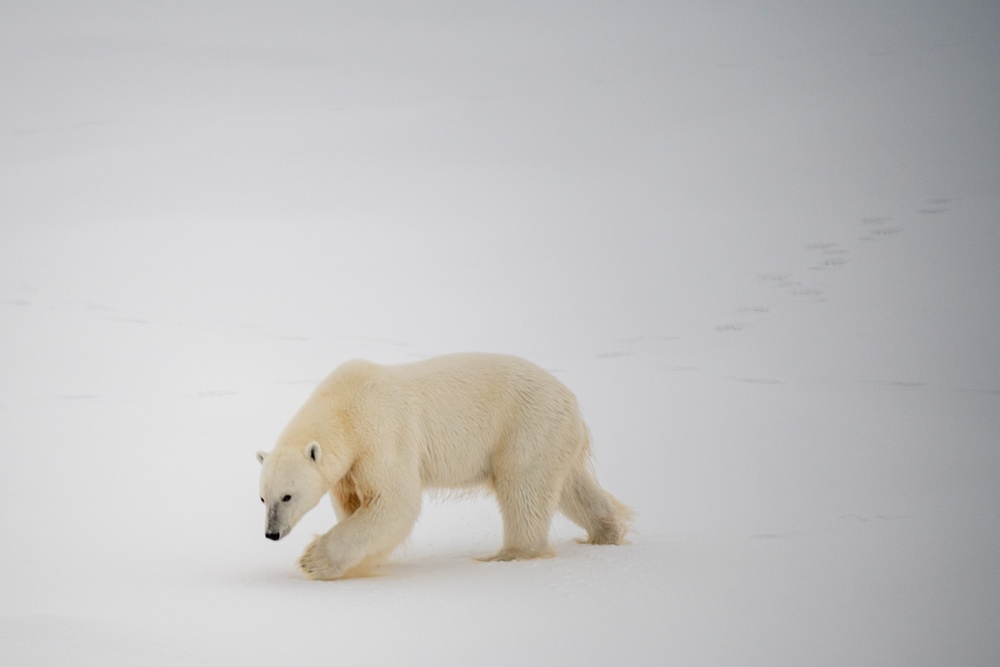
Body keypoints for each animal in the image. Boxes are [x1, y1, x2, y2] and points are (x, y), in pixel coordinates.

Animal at [254, 354, 628, 580]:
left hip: (525, 427)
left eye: (287, 496)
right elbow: (354, 503)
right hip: (553, 438)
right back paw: (606, 531)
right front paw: (362, 563)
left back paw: (507, 555)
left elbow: (395, 501)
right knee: (571, 488)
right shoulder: (351, 465)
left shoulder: (381, 434)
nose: (271, 534)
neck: (344, 408)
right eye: (262, 498)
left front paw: (313, 561)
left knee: (525, 490)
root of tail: (572, 401)